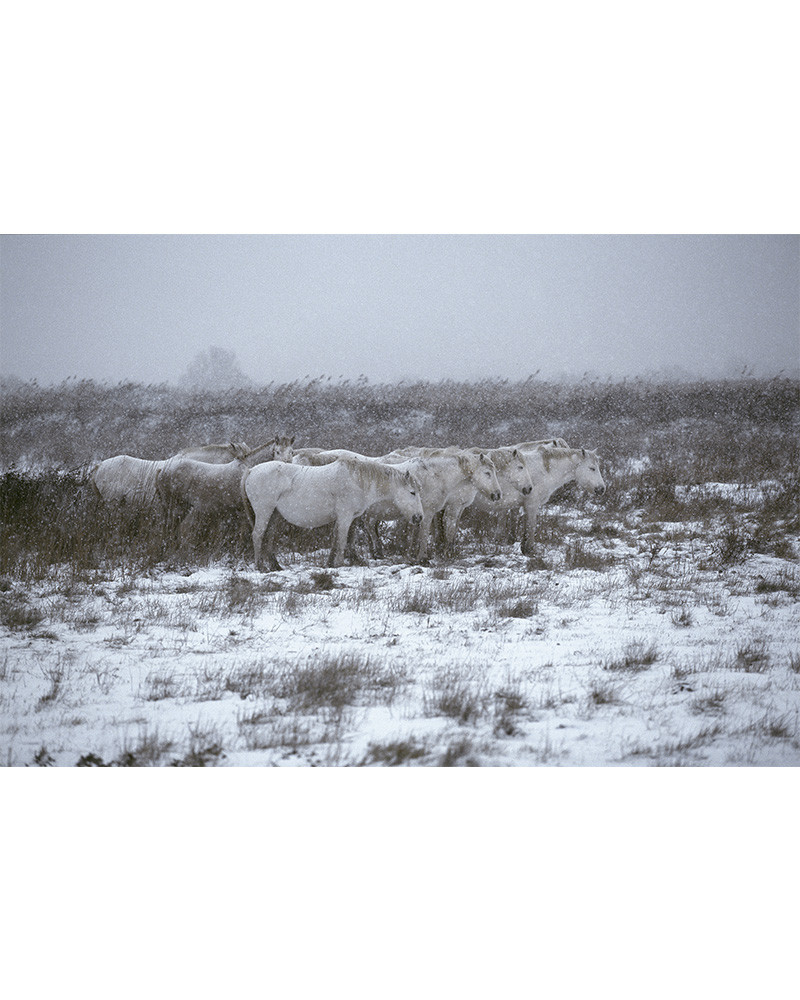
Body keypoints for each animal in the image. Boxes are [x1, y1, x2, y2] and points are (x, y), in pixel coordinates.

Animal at [241, 456, 424, 572]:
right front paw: (340, 564)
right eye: (412, 492)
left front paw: (329, 564)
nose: (419, 517)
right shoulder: (345, 516)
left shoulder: (346, 518)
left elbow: (337, 540)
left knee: (268, 537)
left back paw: (275, 567)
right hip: (264, 511)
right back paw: (260, 567)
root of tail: (251, 470)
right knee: (258, 535)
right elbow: (342, 540)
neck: (358, 480)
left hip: (274, 515)